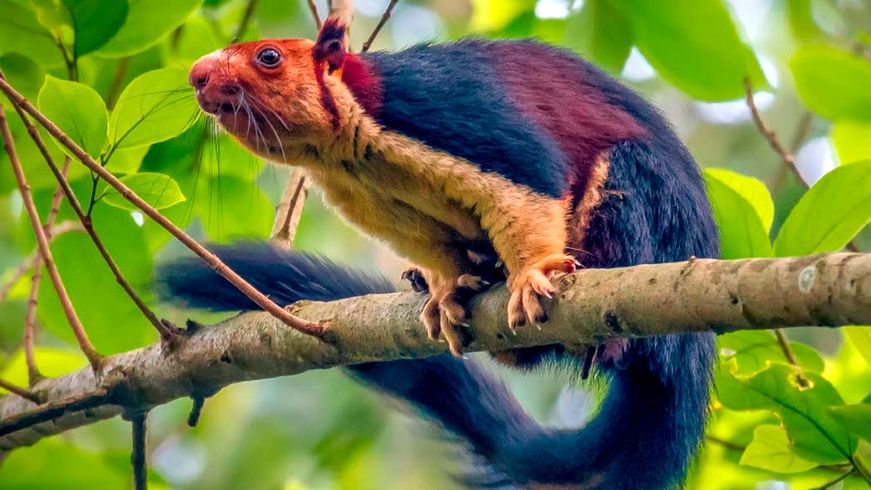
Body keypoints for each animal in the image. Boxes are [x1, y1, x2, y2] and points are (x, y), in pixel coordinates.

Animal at [161, 19, 719, 490]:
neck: (346, 150)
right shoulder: (372, 202)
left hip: (647, 209)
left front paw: (530, 276)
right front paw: (447, 290)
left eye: (269, 56)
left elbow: (532, 175)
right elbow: (434, 246)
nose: (197, 75)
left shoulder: (443, 109)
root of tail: (689, 358)